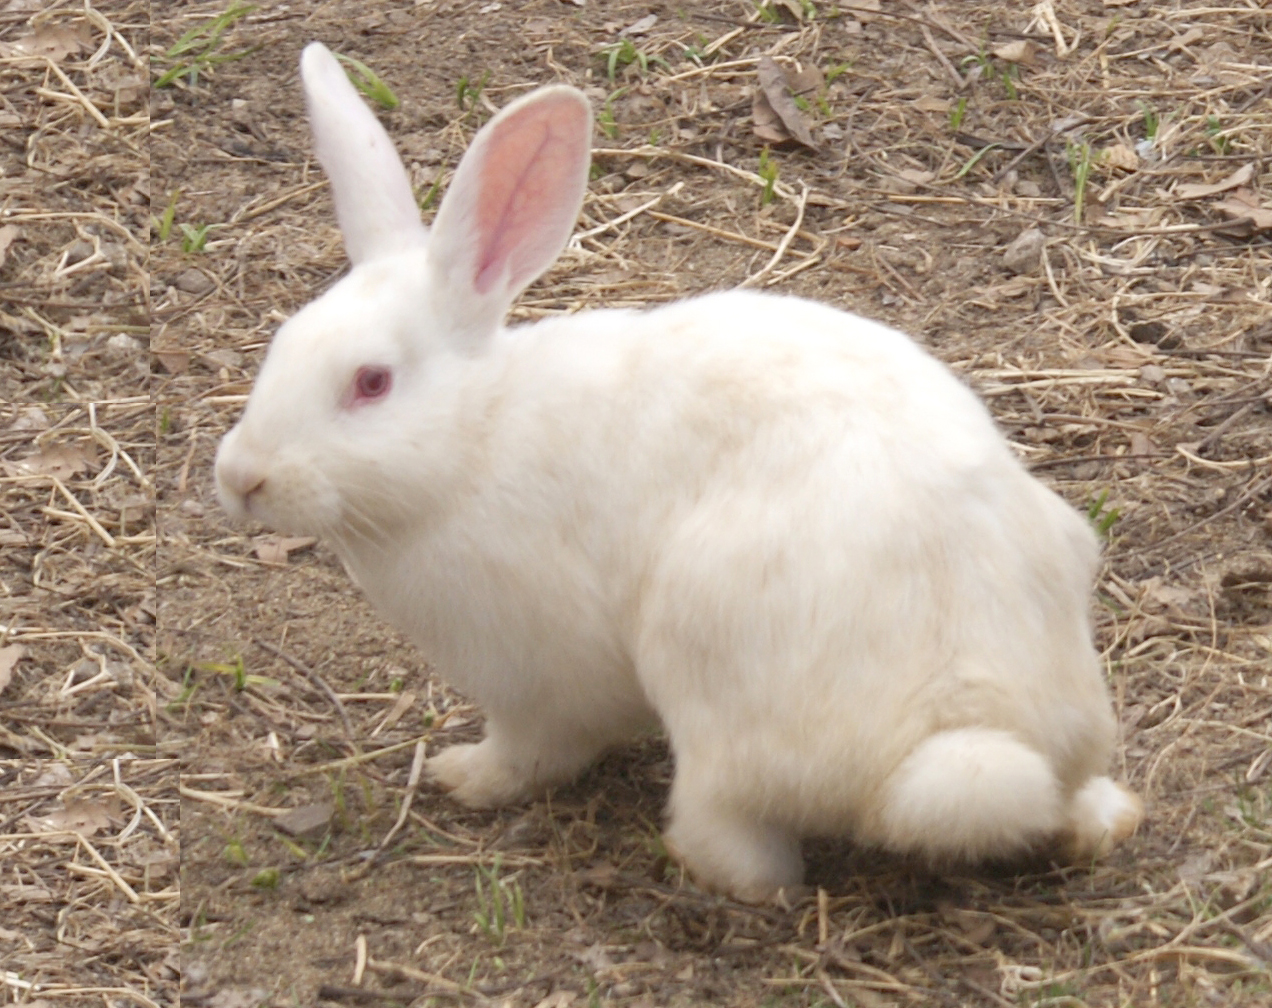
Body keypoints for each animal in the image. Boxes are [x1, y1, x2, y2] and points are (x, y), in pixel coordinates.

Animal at [216, 43, 1144, 901]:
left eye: (371, 383)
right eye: (279, 345)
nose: (240, 478)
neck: (477, 434)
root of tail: (965, 725)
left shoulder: (533, 679)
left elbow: (533, 752)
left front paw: (463, 776)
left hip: (709, 679)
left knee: (744, 843)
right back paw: (1103, 821)